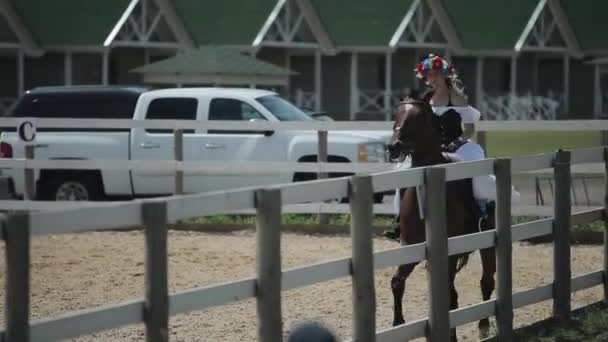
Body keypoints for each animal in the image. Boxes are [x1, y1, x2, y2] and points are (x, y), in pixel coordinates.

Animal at [388, 98, 496, 340]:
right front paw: (398, 323)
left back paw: (484, 326)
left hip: (487, 243)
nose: (394, 146)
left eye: (419, 117)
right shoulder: (411, 247)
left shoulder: (449, 253)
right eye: (396, 114)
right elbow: (397, 282)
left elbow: (450, 295)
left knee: (486, 281)